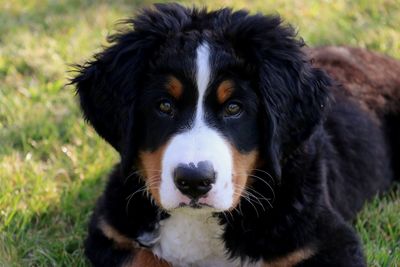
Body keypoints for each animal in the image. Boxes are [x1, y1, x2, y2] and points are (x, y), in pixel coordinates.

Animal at [72, 3, 400, 267]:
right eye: (164, 105)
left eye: (234, 108)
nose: (194, 181)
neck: (201, 221)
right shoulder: (109, 232)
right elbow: (147, 259)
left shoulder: (331, 242)